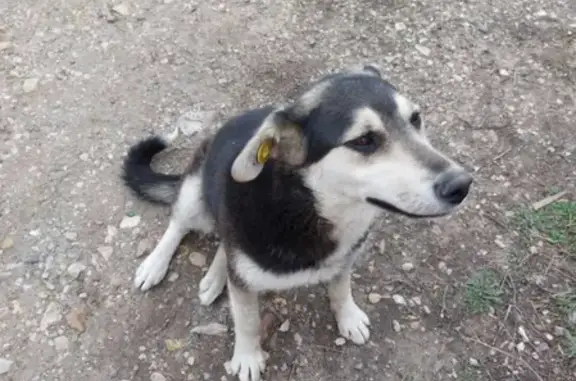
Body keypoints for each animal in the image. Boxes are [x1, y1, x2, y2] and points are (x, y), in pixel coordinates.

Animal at [121, 65, 472, 380]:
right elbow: (247, 321)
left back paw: (215, 275)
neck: (309, 209)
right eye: (363, 141)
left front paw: (348, 317)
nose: (462, 185)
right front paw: (246, 357)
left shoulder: (344, 258)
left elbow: (341, 287)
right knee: (181, 224)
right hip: (195, 192)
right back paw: (156, 264)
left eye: (416, 119)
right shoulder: (246, 279)